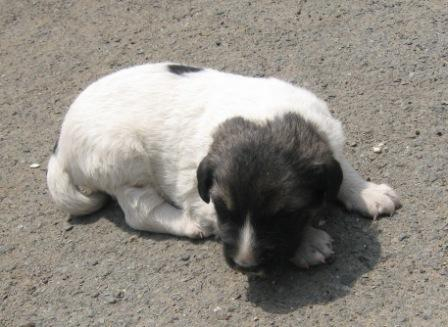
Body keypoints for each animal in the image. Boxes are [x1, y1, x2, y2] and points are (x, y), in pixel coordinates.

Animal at [47, 62, 400, 272]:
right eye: (223, 208)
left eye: (284, 214)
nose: (245, 265)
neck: (265, 118)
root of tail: (60, 146)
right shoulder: (197, 194)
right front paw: (309, 243)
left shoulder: (326, 137)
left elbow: (341, 167)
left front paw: (367, 192)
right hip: (123, 158)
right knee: (139, 210)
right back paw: (188, 225)